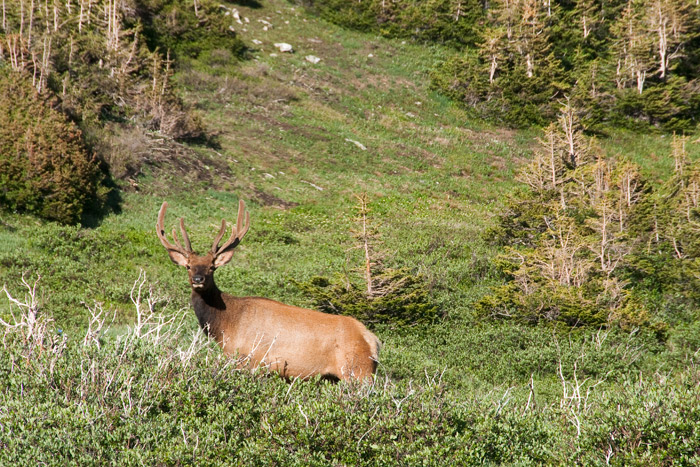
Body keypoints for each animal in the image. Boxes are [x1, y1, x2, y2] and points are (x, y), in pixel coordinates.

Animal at [156, 200, 380, 380]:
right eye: (188, 266)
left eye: (212, 267)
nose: (198, 279)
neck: (226, 325)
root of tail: (373, 340)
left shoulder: (248, 359)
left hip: (357, 371)